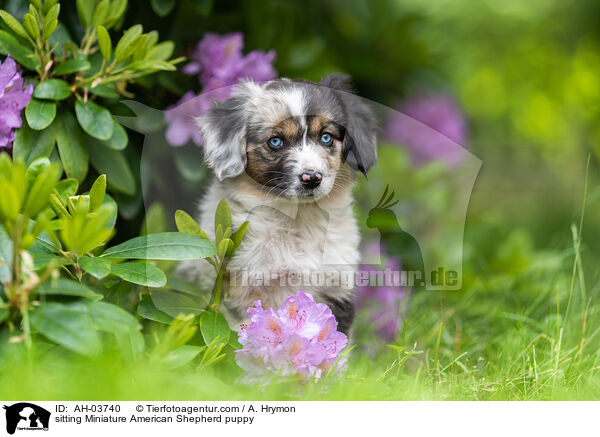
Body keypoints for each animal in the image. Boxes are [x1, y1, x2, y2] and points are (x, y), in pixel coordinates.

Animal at [176, 75, 378, 334]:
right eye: (275, 141)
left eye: (326, 137)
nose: (312, 178)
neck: (299, 219)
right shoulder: (240, 288)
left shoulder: (335, 286)